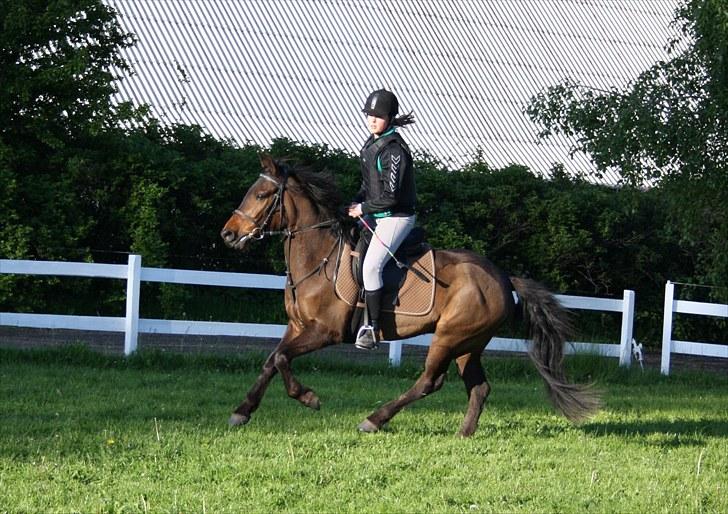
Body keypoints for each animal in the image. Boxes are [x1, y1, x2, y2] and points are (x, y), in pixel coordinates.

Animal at [220, 155, 600, 436]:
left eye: (261, 196)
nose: (228, 234)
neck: (319, 257)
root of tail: (504, 278)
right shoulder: (297, 327)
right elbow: (272, 360)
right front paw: (242, 411)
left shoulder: (324, 332)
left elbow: (282, 359)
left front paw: (309, 398)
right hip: (469, 343)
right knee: (479, 387)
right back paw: (463, 434)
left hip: (449, 337)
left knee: (430, 381)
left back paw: (374, 419)